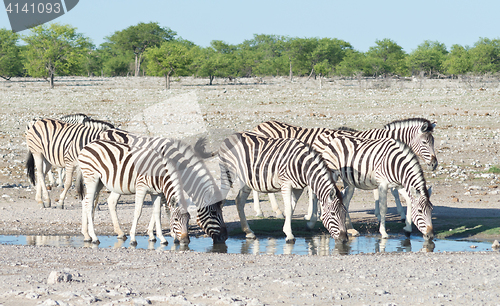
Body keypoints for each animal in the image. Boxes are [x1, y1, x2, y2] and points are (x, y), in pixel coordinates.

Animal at [219, 131, 348, 244]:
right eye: (333, 214)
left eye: (344, 213)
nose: (344, 239)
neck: (302, 166)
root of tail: (230, 136)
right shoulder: (286, 183)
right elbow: (289, 209)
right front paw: (289, 235)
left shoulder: (298, 188)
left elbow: (291, 207)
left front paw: (287, 230)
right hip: (228, 173)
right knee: (221, 201)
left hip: (247, 180)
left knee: (239, 201)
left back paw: (248, 232)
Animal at [252, 118, 436, 235]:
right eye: (425, 142)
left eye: (433, 142)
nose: (435, 163)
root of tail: (258, 126)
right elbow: (389, 194)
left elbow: (396, 194)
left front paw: (404, 222)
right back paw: (266, 211)